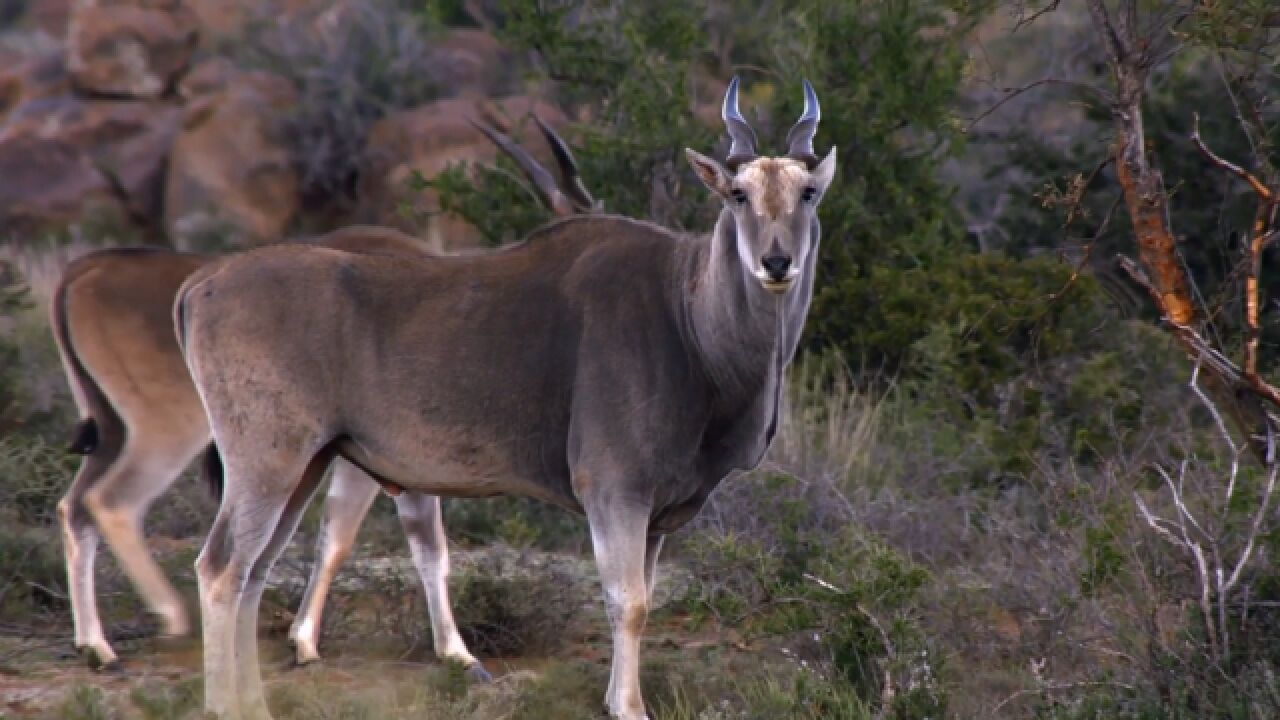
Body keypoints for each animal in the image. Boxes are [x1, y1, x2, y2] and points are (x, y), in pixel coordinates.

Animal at [47, 112, 588, 671]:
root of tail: (80, 271)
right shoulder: (378, 464)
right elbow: (366, 541)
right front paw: (452, 652)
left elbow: (368, 540)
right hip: (171, 432)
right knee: (114, 504)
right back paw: (168, 623)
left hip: (113, 431)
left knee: (76, 506)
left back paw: (94, 642)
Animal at [177, 75, 839, 712]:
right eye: (738, 195)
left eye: (808, 193)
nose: (776, 262)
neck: (686, 314)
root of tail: (202, 283)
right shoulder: (615, 490)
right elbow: (628, 604)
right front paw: (627, 706)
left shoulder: (653, 515)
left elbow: (639, 602)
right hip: (269, 461)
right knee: (220, 568)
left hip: (306, 465)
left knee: (255, 572)